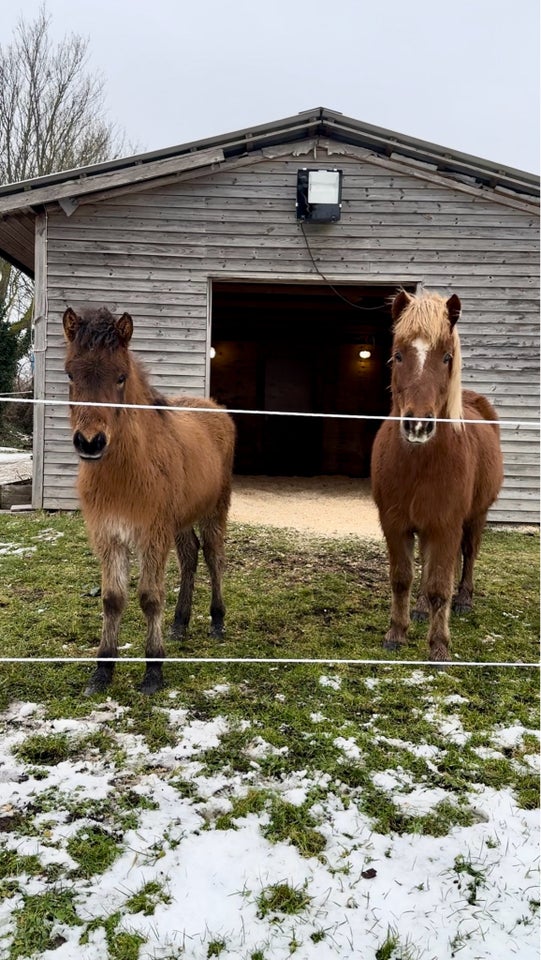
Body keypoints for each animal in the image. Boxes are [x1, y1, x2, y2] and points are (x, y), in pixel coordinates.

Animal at [62, 308, 234, 688]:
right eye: (69, 374)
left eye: (121, 377)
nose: (90, 442)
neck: (127, 472)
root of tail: (215, 408)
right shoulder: (109, 535)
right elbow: (113, 599)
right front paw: (103, 669)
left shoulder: (152, 535)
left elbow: (150, 597)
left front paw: (153, 670)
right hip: (181, 519)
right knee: (190, 557)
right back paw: (180, 623)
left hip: (215, 509)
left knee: (213, 556)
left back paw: (216, 620)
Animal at [372, 290, 502, 660]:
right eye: (398, 355)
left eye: (446, 357)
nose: (418, 425)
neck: (420, 465)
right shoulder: (396, 524)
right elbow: (403, 578)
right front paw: (396, 633)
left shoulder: (446, 525)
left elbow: (440, 585)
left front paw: (439, 647)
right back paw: (418, 609)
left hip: (475, 517)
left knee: (468, 555)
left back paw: (464, 600)